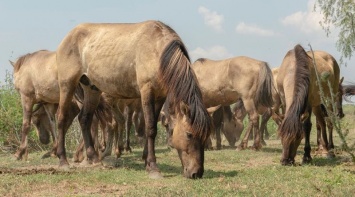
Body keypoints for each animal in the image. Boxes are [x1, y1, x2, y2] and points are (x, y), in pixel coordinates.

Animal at [55, 20, 211, 179]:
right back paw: (63, 161)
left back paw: (93, 157)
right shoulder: (147, 91)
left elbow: (150, 127)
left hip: (91, 89)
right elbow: (151, 128)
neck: (158, 50)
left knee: (84, 119)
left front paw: (147, 161)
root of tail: (69, 36)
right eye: (189, 134)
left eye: (206, 135)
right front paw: (153, 167)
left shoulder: (160, 97)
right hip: (67, 84)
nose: (196, 173)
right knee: (61, 118)